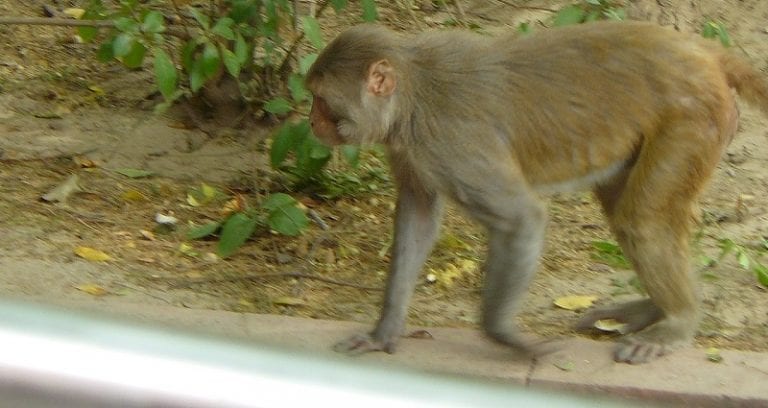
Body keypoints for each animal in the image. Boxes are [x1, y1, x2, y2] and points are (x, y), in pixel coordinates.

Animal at [305, 21, 768, 364]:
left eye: (321, 101)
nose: (311, 123)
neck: (414, 93)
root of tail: (700, 51)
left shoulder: (449, 143)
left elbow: (520, 219)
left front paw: (507, 337)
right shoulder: (411, 150)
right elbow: (416, 218)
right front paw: (384, 332)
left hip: (692, 117)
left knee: (642, 221)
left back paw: (679, 320)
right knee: (628, 210)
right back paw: (656, 309)